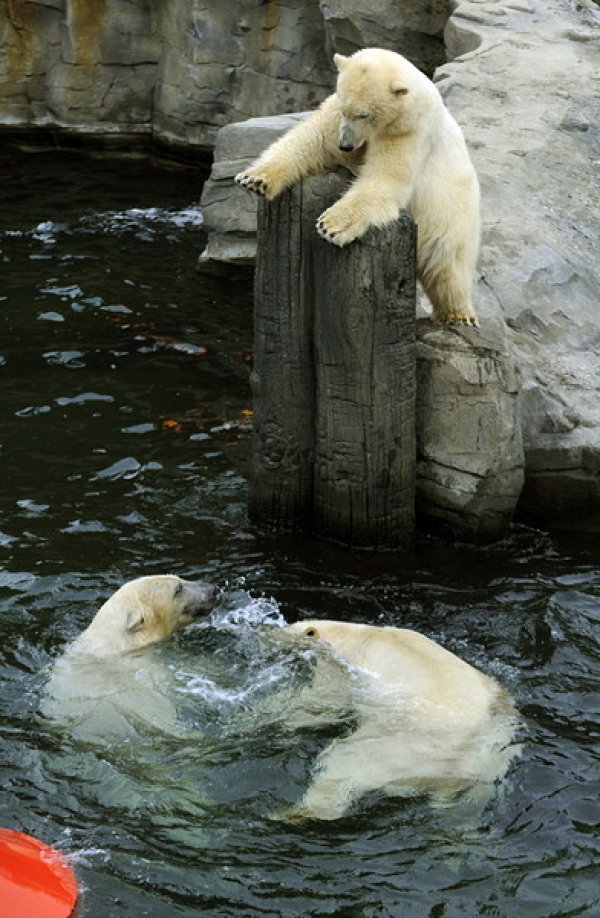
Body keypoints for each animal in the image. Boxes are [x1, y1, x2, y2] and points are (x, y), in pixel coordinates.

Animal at [237, 47, 480, 328]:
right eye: (346, 110)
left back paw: (459, 314)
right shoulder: (335, 117)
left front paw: (330, 226)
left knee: (447, 265)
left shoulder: (408, 133)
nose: (345, 145)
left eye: (365, 114)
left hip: (453, 216)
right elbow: (312, 139)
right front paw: (255, 179)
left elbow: (382, 181)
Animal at [278, 620, 516, 824]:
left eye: (288, 629)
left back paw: (296, 814)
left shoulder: (344, 672)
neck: (359, 635)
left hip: (400, 747)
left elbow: (321, 703)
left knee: (342, 765)